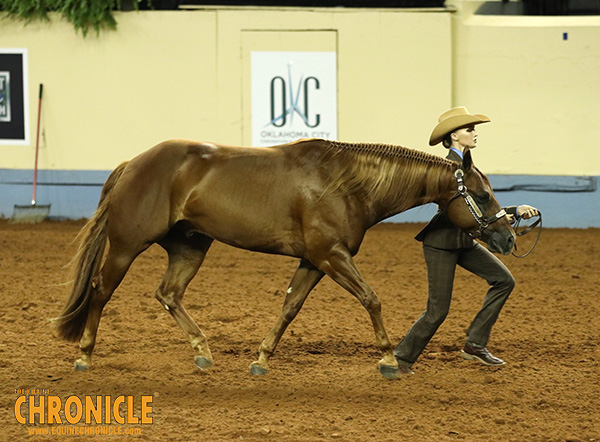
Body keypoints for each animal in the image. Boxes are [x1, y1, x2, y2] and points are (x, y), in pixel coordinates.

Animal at [55, 139, 510, 380]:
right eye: (482, 194)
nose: (506, 236)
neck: (346, 184)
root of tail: (134, 162)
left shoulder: (314, 261)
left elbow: (290, 307)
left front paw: (261, 359)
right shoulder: (331, 256)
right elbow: (372, 299)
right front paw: (387, 359)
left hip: (190, 246)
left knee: (168, 293)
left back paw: (203, 352)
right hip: (127, 246)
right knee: (100, 291)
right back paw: (84, 356)